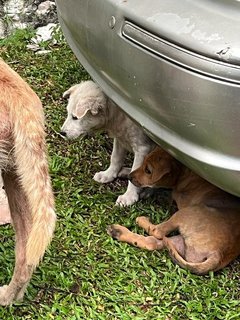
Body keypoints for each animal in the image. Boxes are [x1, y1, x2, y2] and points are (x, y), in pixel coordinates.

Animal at [108, 146, 240, 274]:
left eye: (148, 170)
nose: (130, 177)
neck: (184, 173)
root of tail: (218, 255)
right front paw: (125, 171)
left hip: (186, 213)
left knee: (157, 231)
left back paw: (140, 220)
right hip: (180, 242)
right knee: (151, 242)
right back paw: (118, 231)